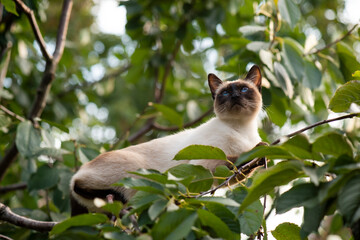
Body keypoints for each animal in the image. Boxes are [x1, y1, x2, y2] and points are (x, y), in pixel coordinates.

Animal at [69, 64, 262, 215]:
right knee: (79, 183)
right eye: (226, 92)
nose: (235, 96)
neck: (241, 129)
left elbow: (242, 169)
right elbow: (237, 159)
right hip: (137, 170)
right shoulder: (206, 163)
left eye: (244, 89)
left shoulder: (225, 177)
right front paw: (260, 148)